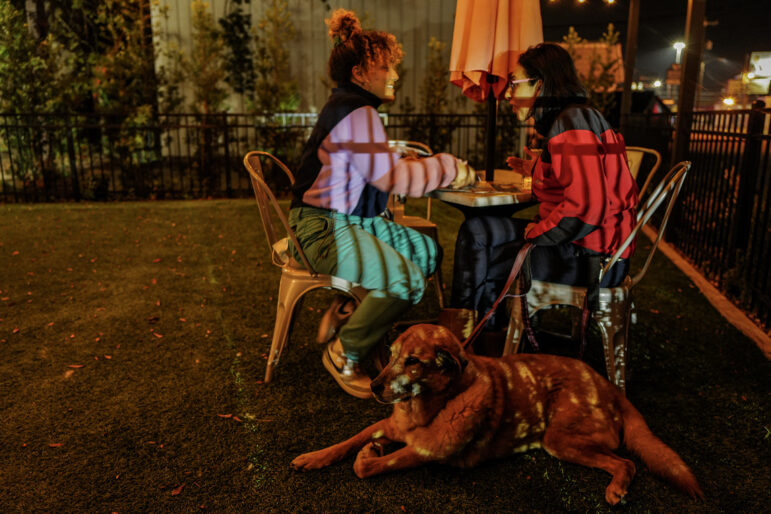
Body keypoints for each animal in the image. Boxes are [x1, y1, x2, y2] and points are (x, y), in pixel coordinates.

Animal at [292, 322, 704, 502]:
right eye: (391, 355)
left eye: (413, 362)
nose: (375, 386)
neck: (432, 406)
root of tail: (612, 389)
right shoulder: (389, 425)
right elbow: (349, 439)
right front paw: (315, 456)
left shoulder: (422, 452)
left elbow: (367, 466)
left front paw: (368, 455)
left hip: (559, 438)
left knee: (627, 462)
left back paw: (617, 487)